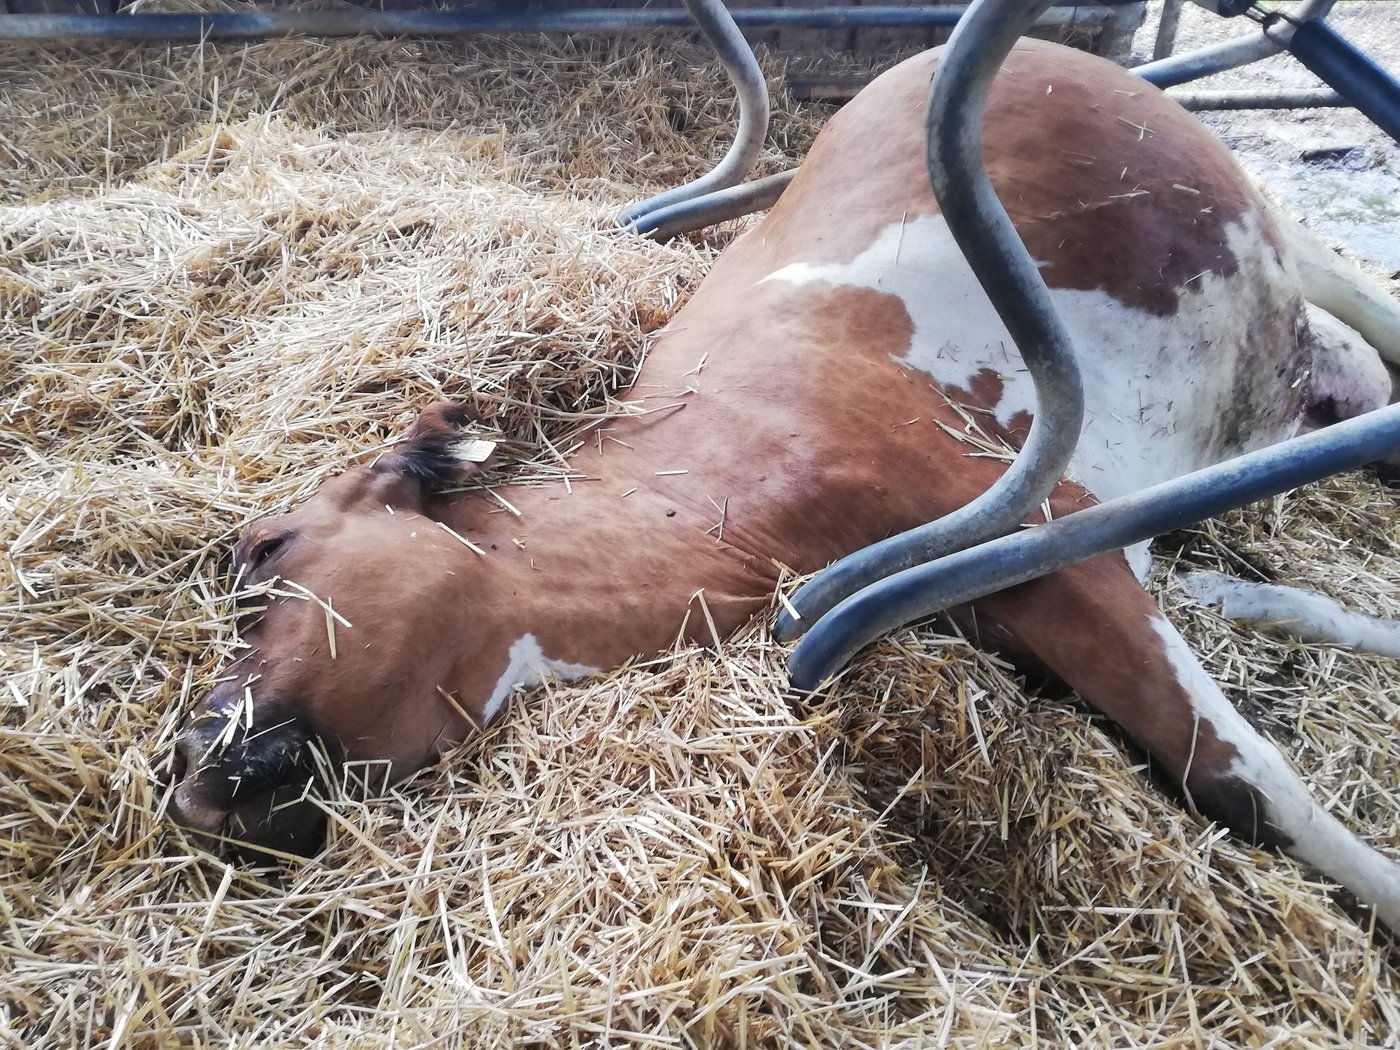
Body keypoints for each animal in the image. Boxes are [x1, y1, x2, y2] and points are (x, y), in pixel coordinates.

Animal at [168, 39, 1400, 930]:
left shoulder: (1053, 533)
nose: (186, 775)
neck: (722, 485)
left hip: (1269, 220)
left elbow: (1245, 776)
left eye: (266, 551)